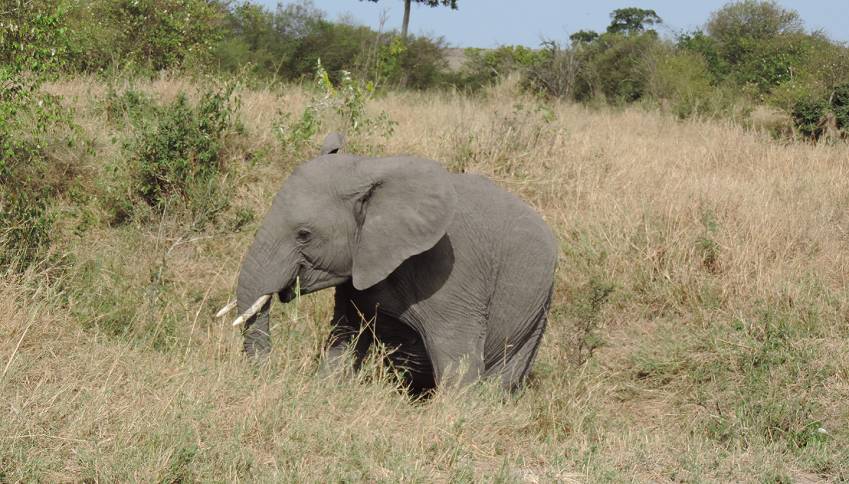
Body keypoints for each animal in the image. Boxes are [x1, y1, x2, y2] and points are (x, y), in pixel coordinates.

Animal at [225, 132, 556, 394]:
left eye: (304, 235)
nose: (270, 372)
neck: (371, 171)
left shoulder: (453, 276)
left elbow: (457, 359)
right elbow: (344, 338)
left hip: (537, 309)